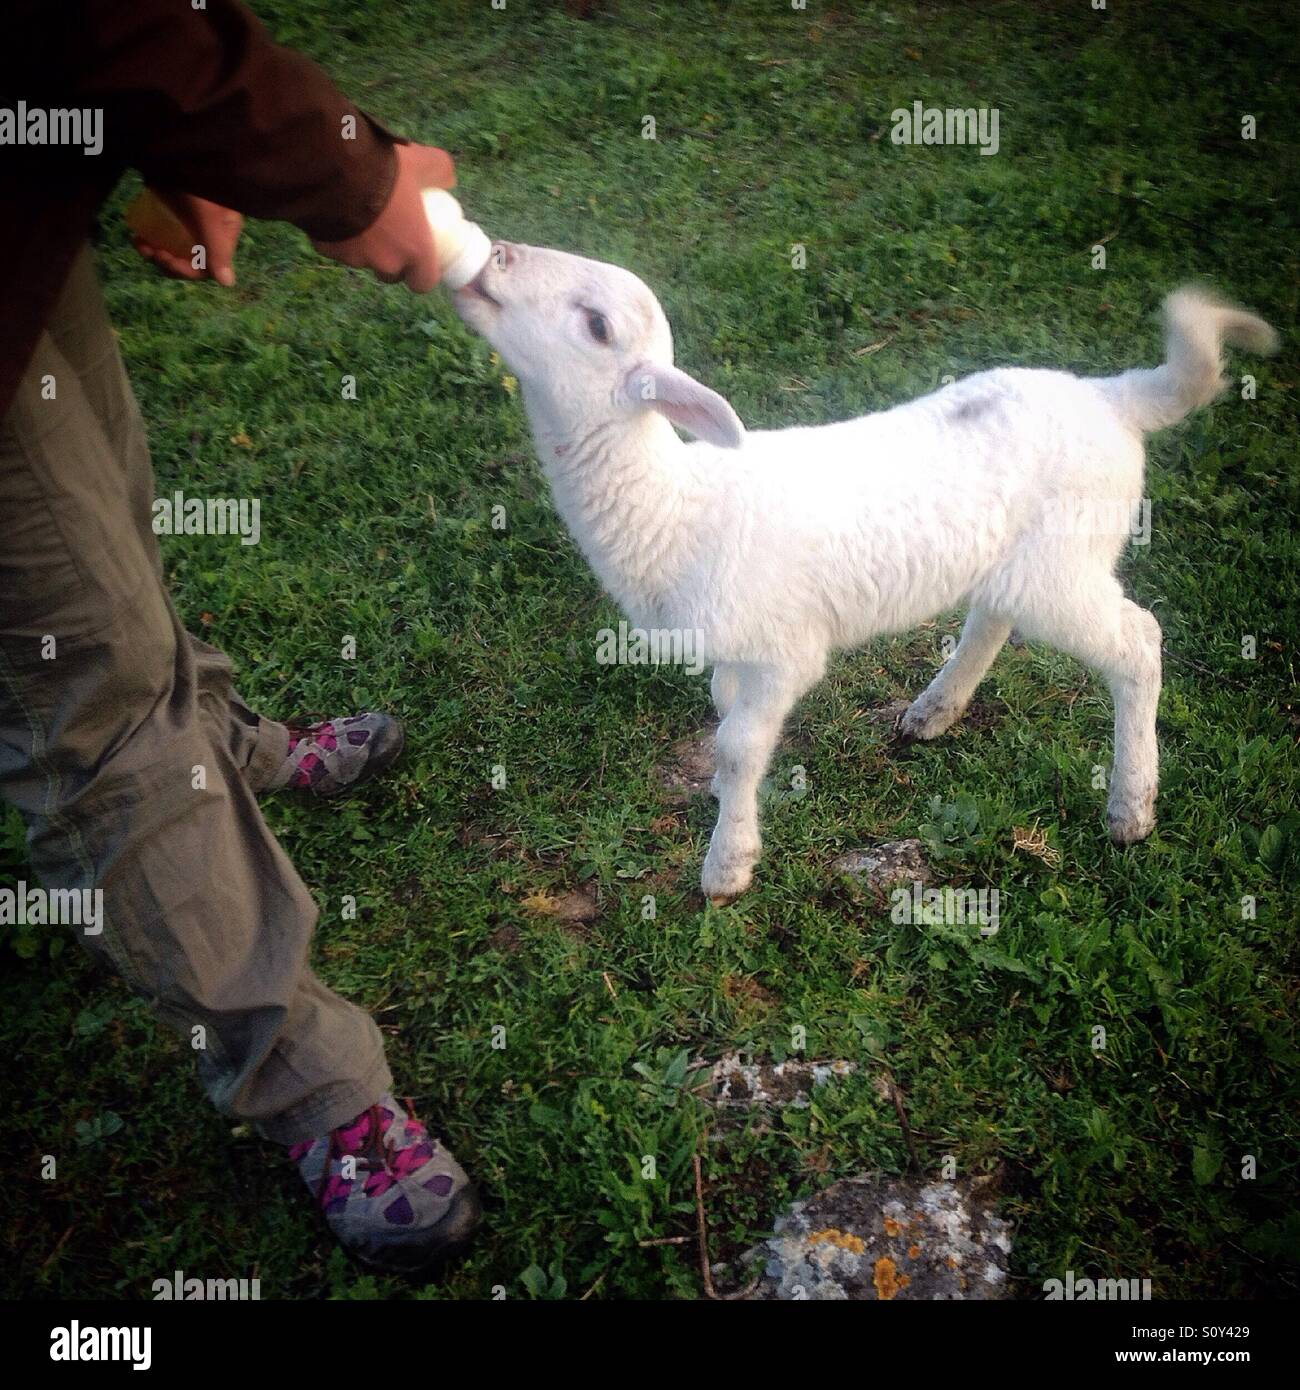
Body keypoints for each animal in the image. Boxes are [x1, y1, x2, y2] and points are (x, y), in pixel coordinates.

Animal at [453, 246, 1273, 900]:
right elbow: (723, 714)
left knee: (1137, 642)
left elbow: (738, 746)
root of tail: (1113, 397)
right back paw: (935, 710)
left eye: (596, 326)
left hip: (1064, 561)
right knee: (993, 617)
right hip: (1020, 560)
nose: (494, 255)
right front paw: (724, 812)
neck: (676, 503)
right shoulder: (736, 647)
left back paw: (1131, 807)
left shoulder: (785, 651)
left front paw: (727, 866)